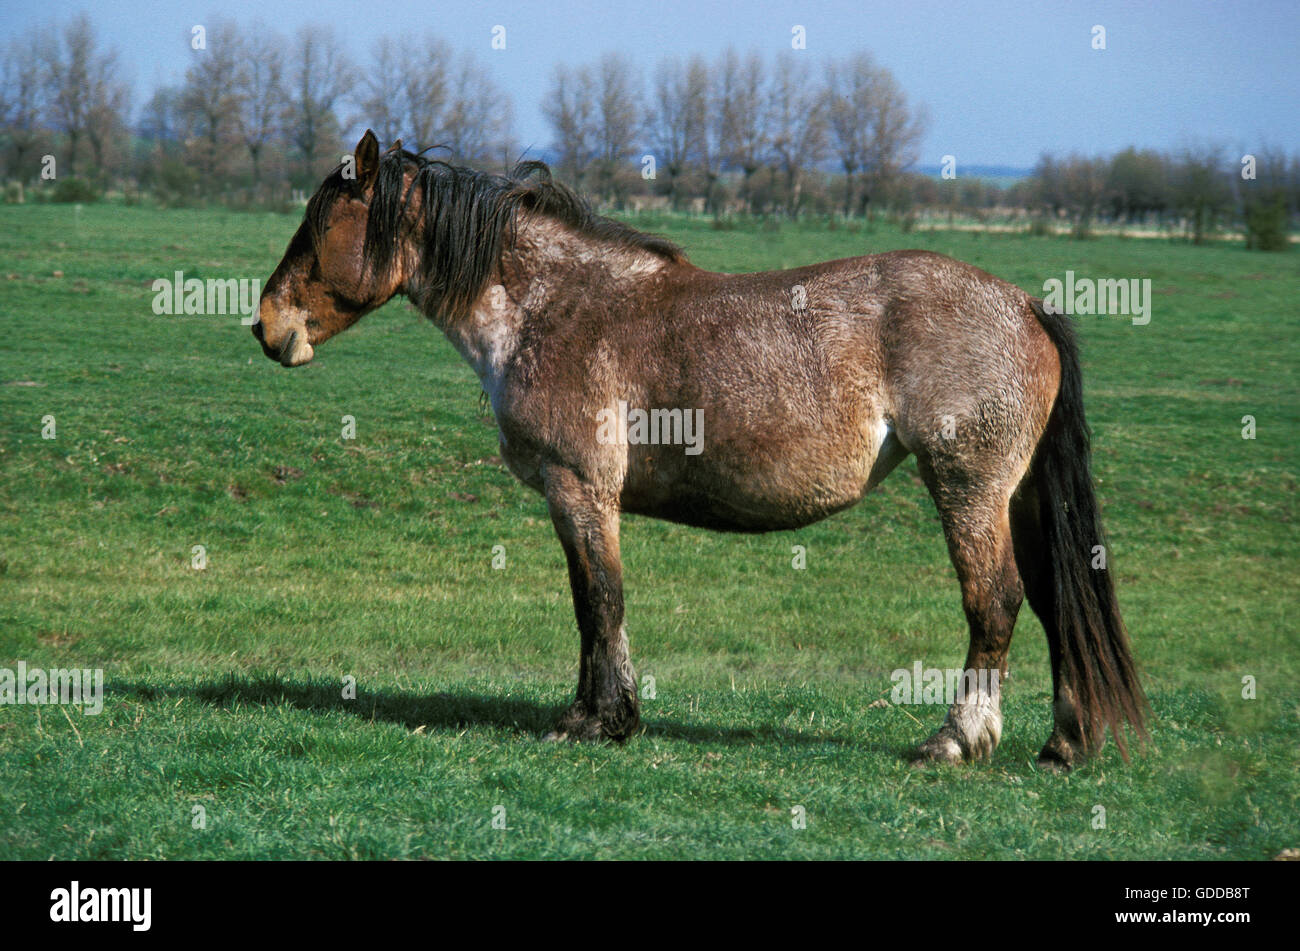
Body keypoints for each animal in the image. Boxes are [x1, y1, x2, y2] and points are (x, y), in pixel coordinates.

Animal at [253, 130, 1148, 770]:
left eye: (321, 225)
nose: (265, 325)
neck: (555, 306)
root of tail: (1028, 306)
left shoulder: (580, 489)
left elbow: (600, 601)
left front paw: (600, 720)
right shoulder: (579, 498)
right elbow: (590, 604)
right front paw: (597, 712)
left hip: (967, 487)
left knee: (994, 600)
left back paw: (955, 739)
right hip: (1015, 495)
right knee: (1053, 599)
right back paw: (1062, 741)